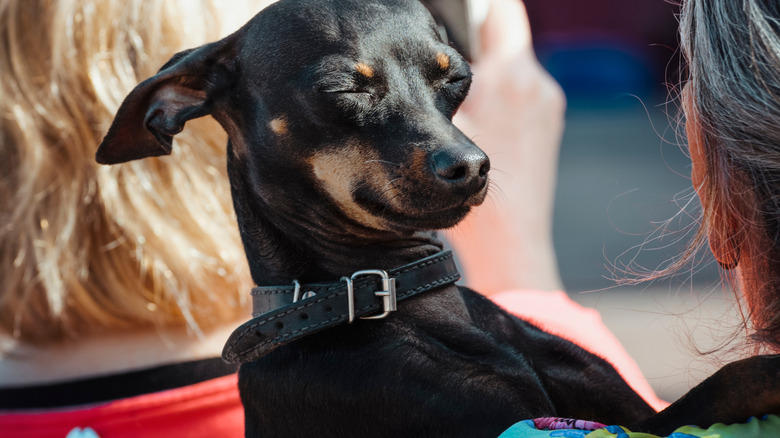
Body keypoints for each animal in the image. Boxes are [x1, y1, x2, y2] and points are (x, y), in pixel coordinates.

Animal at [97, 0, 780, 436]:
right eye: (344, 88)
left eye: (457, 78)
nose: (473, 165)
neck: (401, 298)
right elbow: (726, 382)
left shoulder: (628, 412)